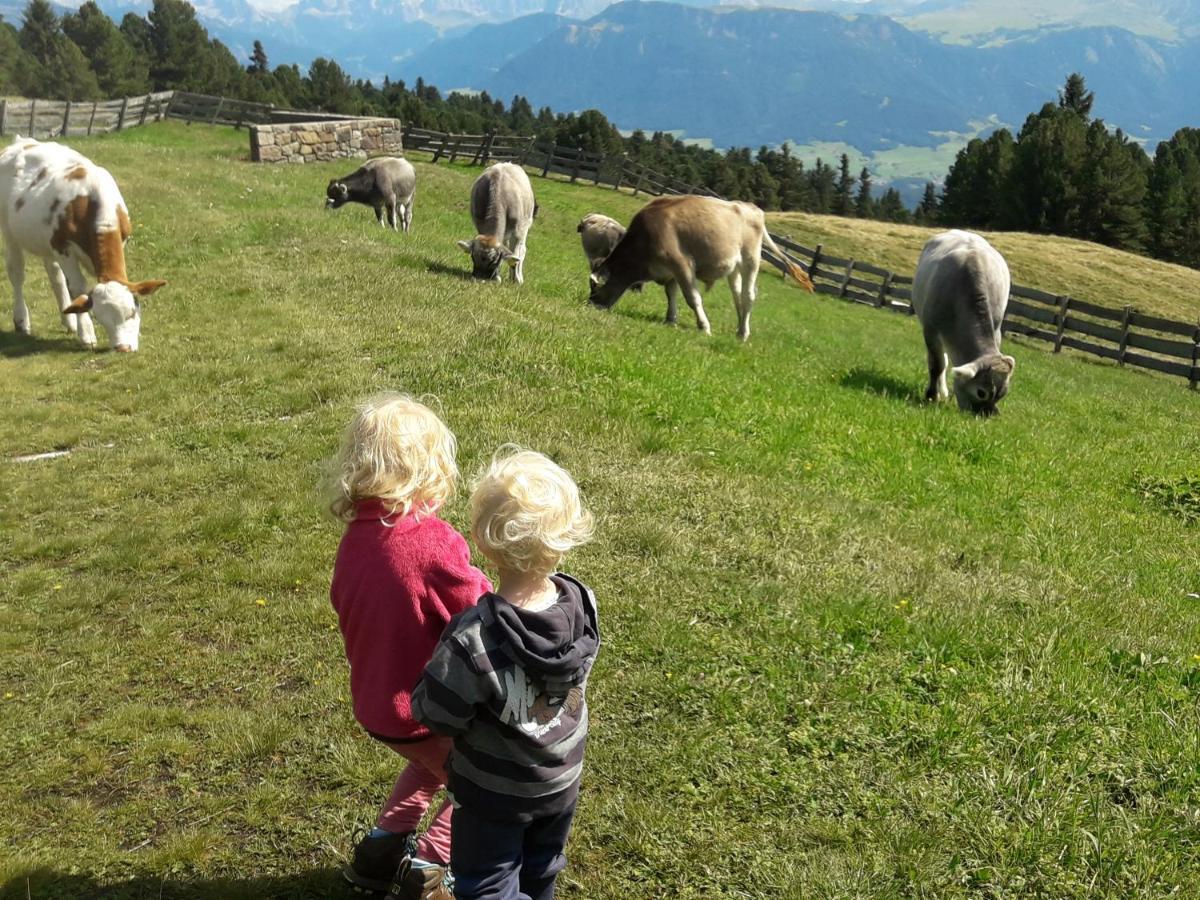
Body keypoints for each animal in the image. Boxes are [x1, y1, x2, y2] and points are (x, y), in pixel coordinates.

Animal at [0, 133, 166, 352]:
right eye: (100, 319)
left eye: (132, 312)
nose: (122, 348)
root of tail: (21, 142)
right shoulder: (63, 248)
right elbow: (78, 289)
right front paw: (86, 333)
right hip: (9, 232)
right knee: (17, 274)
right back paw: (22, 321)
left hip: (46, 241)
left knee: (55, 276)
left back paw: (68, 321)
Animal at [585, 194, 811, 340]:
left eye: (595, 290)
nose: (589, 305)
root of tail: (752, 208)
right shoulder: (670, 272)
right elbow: (671, 294)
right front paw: (670, 319)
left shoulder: (682, 265)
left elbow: (693, 298)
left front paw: (704, 327)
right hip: (734, 268)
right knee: (738, 296)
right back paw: (739, 329)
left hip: (751, 260)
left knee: (748, 296)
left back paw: (744, 334)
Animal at [912, 230, 1017, 417]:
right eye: (981, 392)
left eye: (1002, 393)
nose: (989, 415)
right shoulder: (931, 330)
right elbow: (937, 365)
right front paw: (932, 396)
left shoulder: (996, 329)